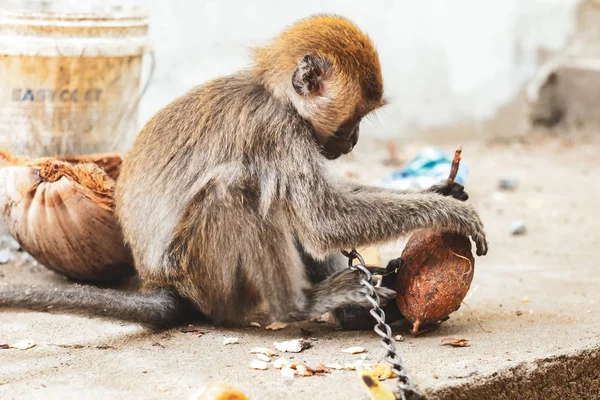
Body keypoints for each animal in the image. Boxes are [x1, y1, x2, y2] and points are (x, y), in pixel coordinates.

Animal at [0, 14, 488, 330]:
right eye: (355, 118)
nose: (353, 141)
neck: (275, 95)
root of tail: (162, 283)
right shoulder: (278, 131)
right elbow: (323, 220)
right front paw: (450, 212)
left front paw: (440, 190)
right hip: (206, 280)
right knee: (238, 190)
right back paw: (299, 306)